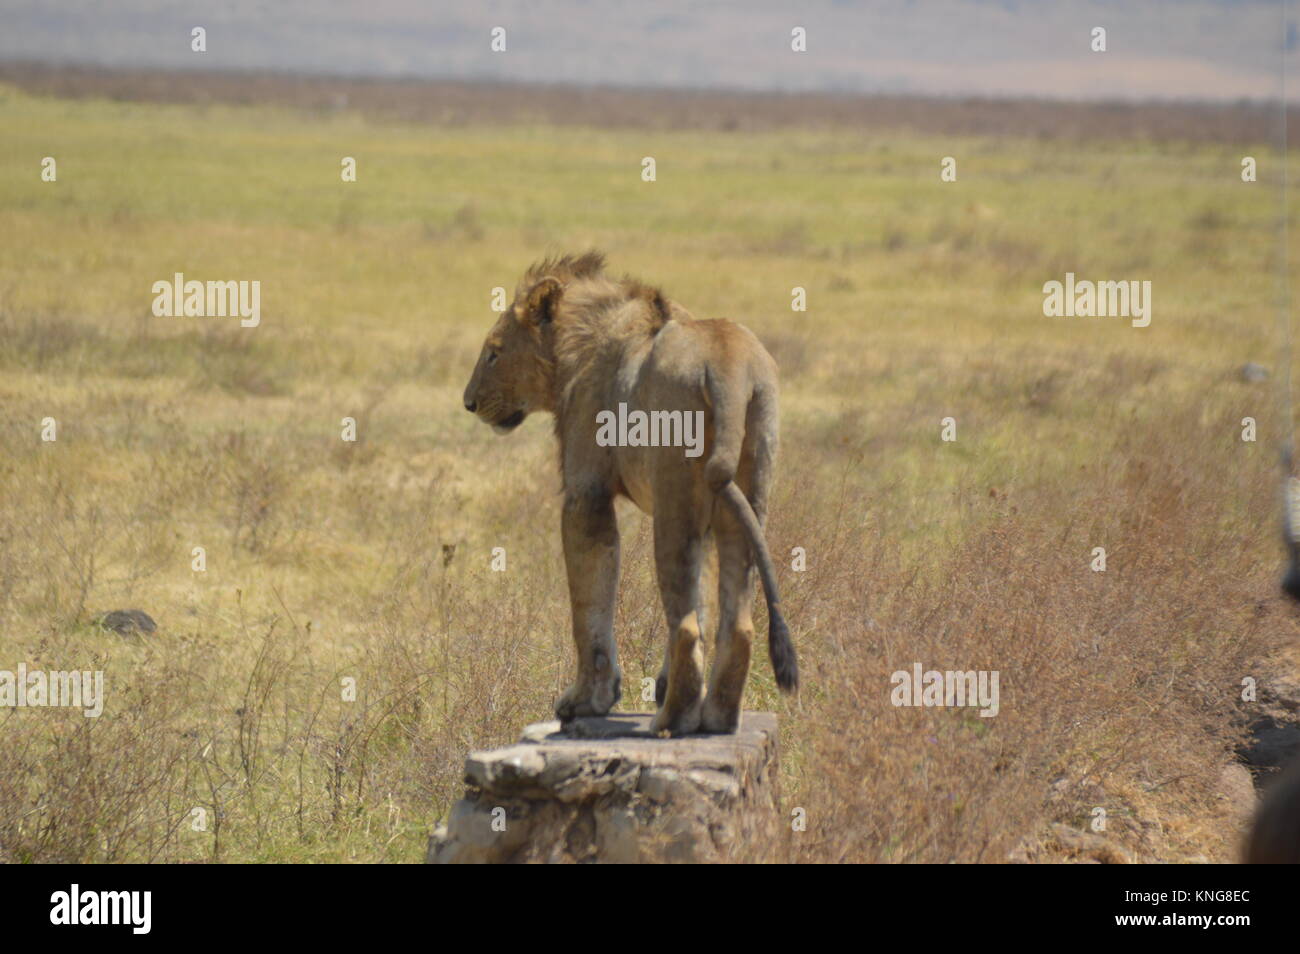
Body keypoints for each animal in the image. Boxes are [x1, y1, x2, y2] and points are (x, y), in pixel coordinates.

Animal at [462, 251, 798, 735]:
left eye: (493, 352)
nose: (468, 402)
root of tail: (728, 369)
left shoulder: (586, 491)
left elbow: (589, 602)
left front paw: (586, 700)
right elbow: (700, 598)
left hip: (675, 500)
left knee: (685, 627)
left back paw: (671, 720)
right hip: (748, 493)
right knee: (734, 623)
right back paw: (714, 718)